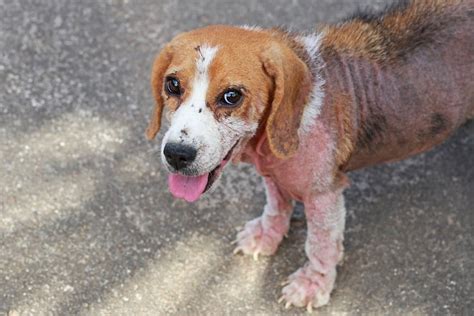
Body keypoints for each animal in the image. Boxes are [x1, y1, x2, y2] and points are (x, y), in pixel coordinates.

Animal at [146, 0, 472, 312]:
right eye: (172, 85)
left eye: (231, 96)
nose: (177, 154)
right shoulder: (274, 172)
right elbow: (276, 206)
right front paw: (268, 235)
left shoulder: (324, 196)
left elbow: (320, 245)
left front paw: (314, 284)